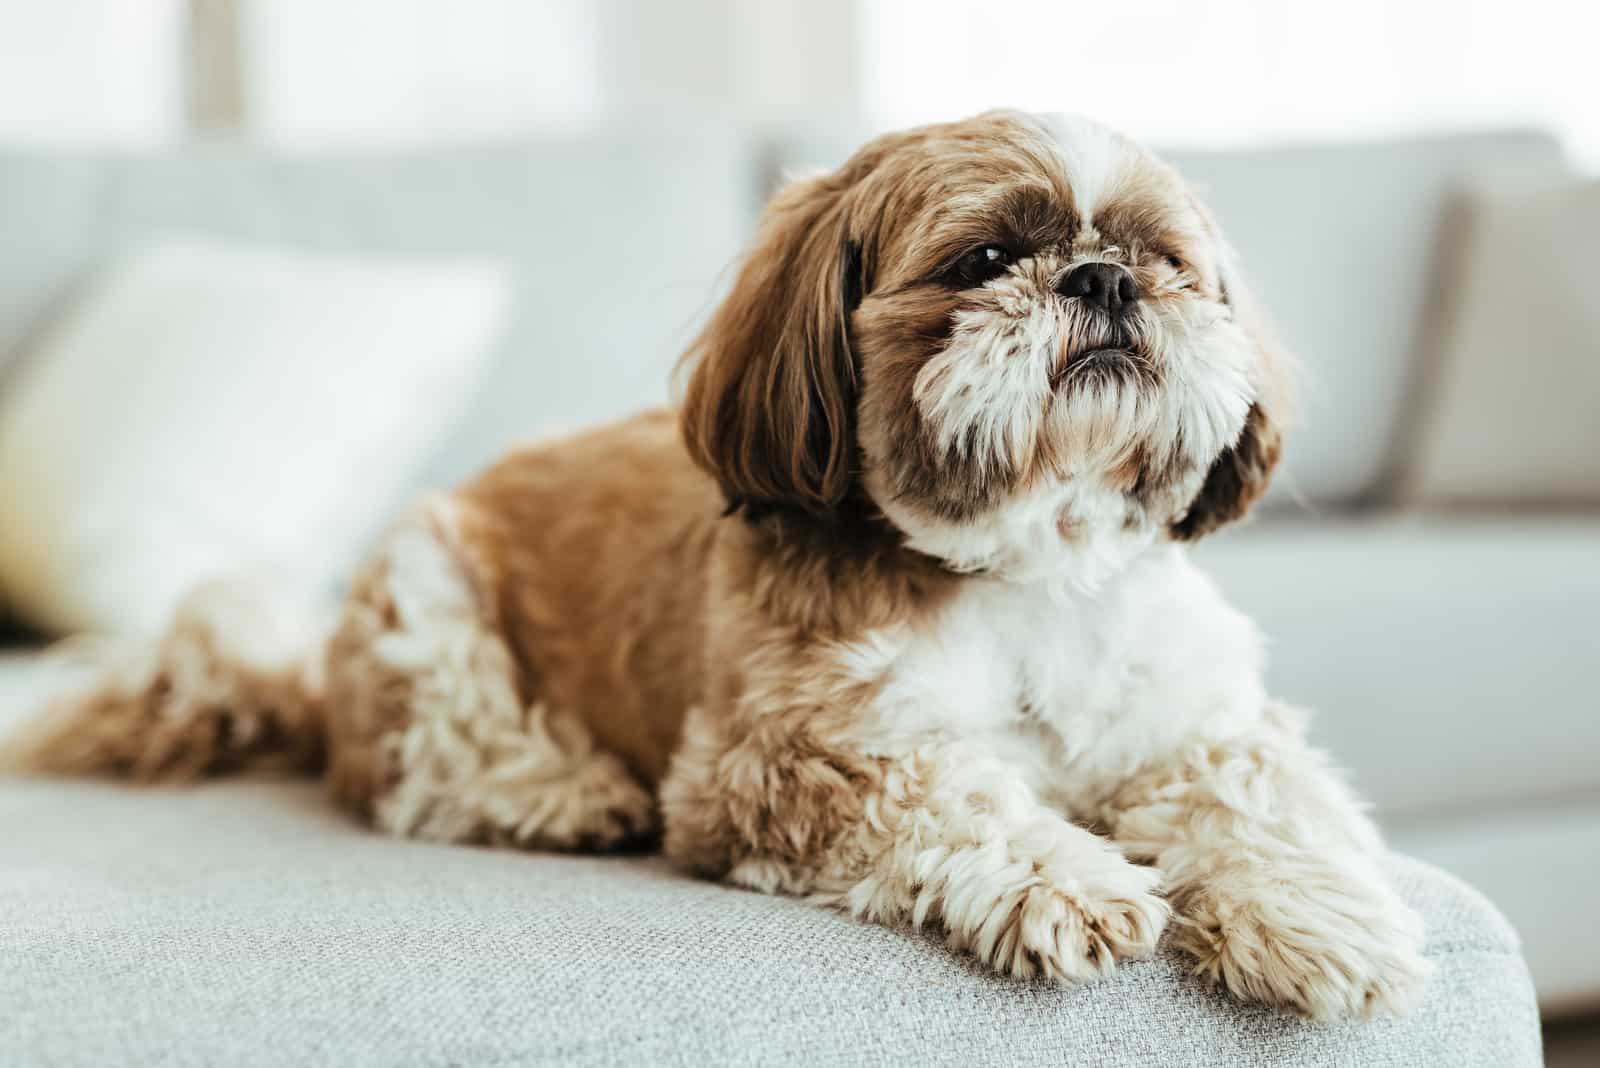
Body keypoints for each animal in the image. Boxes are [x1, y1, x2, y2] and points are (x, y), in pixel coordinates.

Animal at [6, 112, 1433, 1023]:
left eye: (1166, 261)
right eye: (983, 259)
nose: (1100, 279)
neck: (1028, 569)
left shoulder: (1200, 720)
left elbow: (1257, 795)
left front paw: (1321, 916)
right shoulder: (777, 763)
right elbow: (953, 790)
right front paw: (1064, 876)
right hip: (425, 590)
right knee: (426, 770)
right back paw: (562, 789)